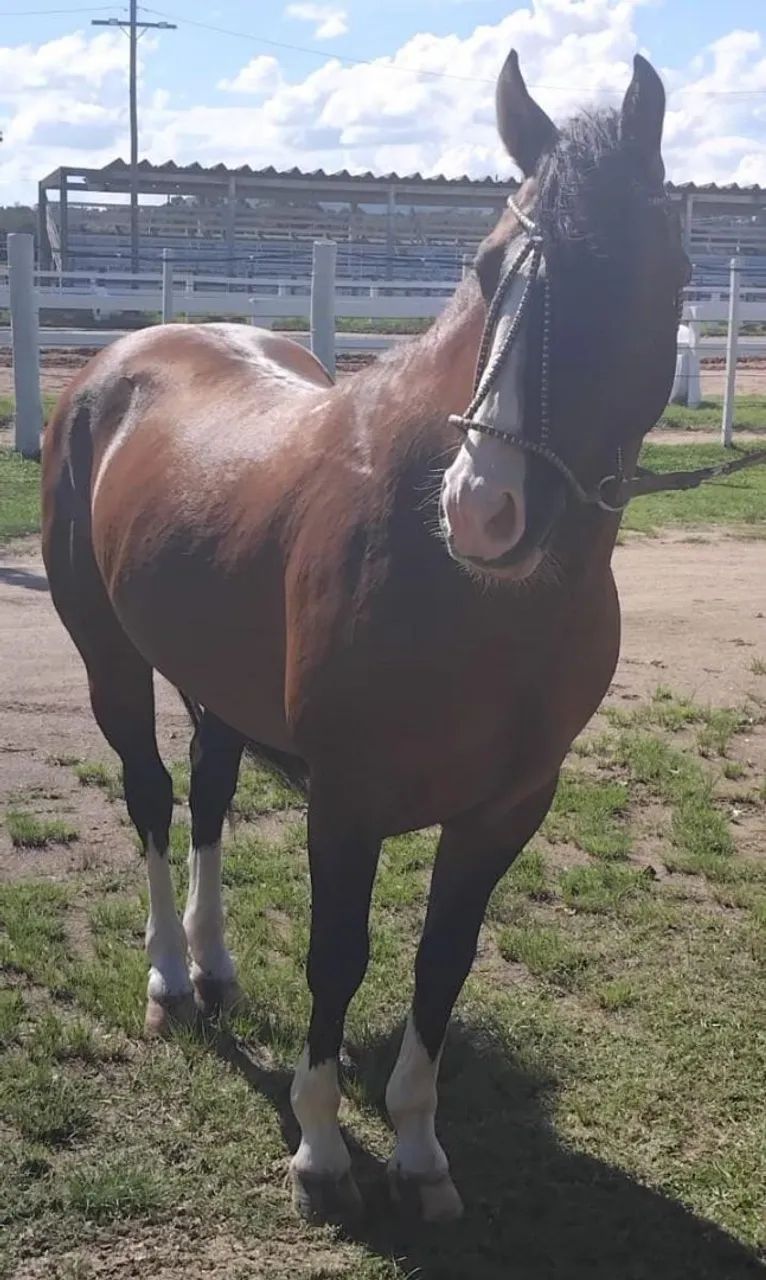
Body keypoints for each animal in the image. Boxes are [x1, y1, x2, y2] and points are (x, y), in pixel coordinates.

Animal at [41, 49, 690, 1225]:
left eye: (632, 272)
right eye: (486, 267)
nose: (482, 509)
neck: (475, 601)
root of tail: (117, 361)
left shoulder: (506, 809)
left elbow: (443, 962)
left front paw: (421, 1149)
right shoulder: (345, 800)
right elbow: (337, 956)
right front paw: (319, 1147)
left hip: (216, 678)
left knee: (207, 792)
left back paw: (214, 964)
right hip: (110, 657)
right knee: (152, 798)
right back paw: (170, 977)